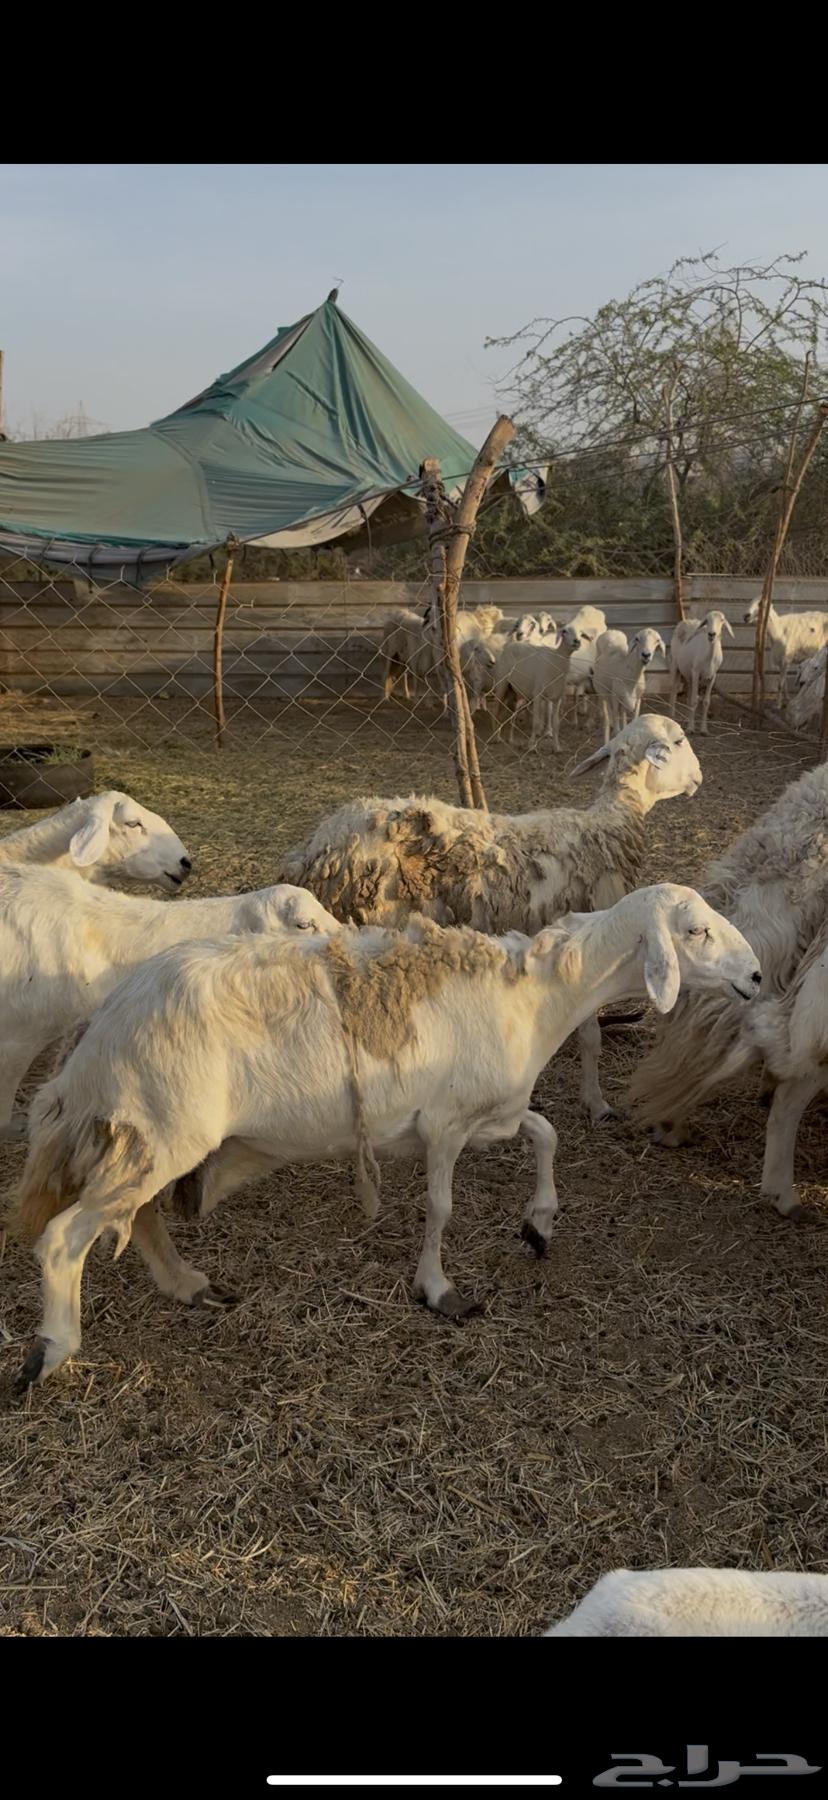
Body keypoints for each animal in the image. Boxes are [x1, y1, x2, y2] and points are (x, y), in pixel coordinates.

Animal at [274, 713, 703, 1125]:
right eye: (679, 740)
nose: (699, 777)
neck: (610, 825)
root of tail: (314, 853)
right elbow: (590, 1037)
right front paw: (597, 1104)